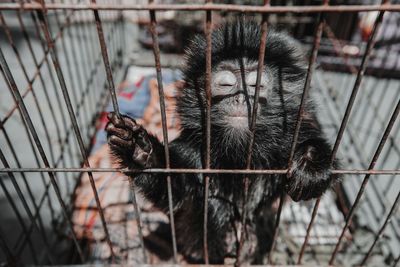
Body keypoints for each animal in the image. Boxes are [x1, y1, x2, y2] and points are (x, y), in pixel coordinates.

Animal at [106, 19, 338, 264]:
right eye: (226, 85)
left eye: (256, 86)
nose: (241, 98)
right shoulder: (193, 150)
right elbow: (172, 189)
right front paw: (139, 150)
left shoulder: (283, 142)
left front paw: (311, 164)